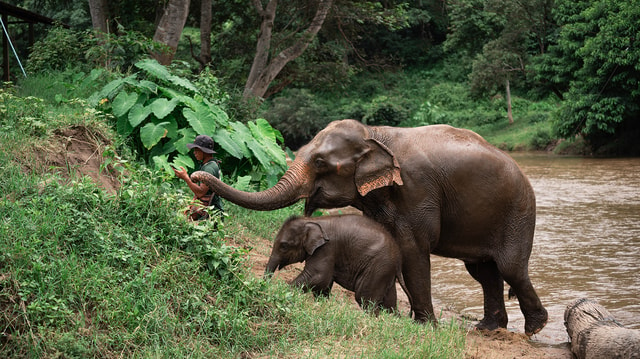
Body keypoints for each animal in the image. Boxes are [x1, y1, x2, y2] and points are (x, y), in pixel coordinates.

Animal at [264, 217, 410, 316]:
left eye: (284, 246)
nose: (266, 286)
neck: (311, 220)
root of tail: (399, 259)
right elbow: (324, 284)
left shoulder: (326, 249)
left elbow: (318, 276)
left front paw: (284, 291)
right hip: (385, 272)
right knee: (389, 304)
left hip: (378, 267)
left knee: (365, 299)